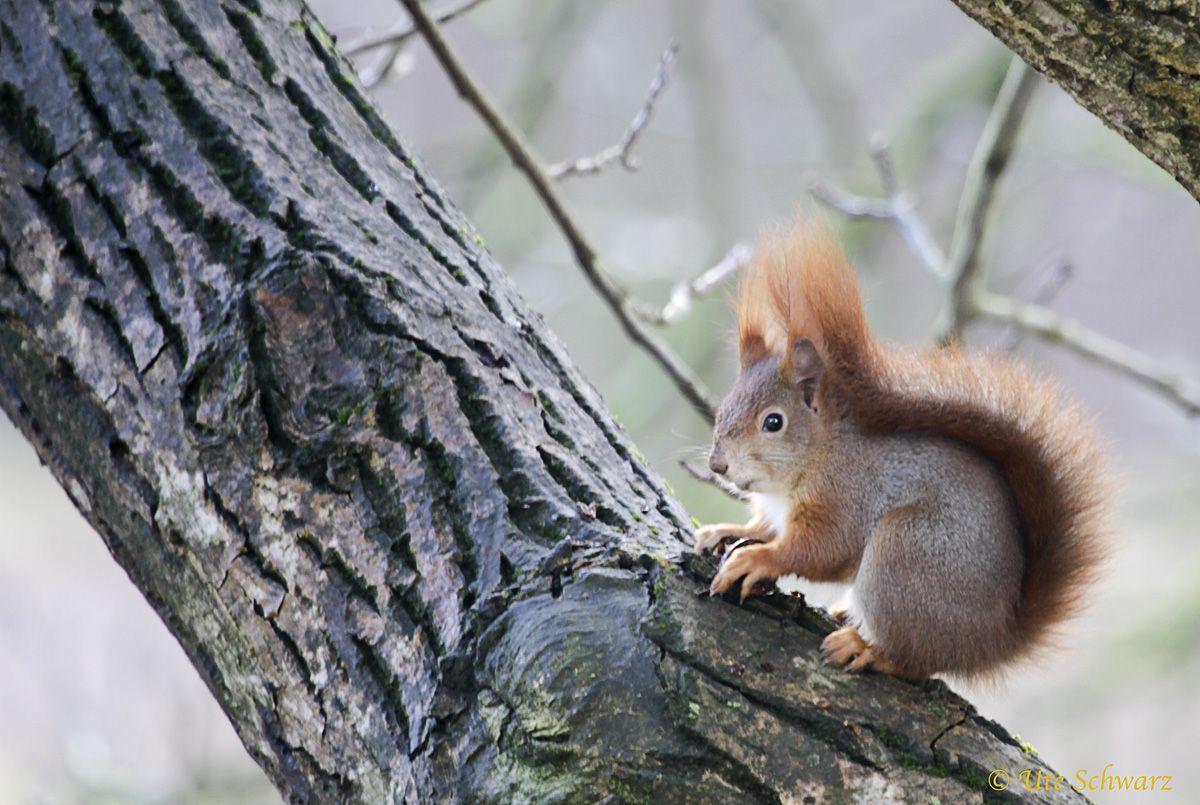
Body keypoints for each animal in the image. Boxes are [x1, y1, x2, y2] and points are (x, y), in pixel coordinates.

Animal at [700, 220, 1108, 681]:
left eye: (773, 422)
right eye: (724, 406)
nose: (717, 464)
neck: (817, 457)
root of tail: (991, 641)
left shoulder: (847, 496)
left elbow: (819, 550)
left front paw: (758, 560)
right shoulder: (779, 512)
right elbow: (764, 528)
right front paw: (724, 531)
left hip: (904, 552)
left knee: (915, 659)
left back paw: (865, 647)